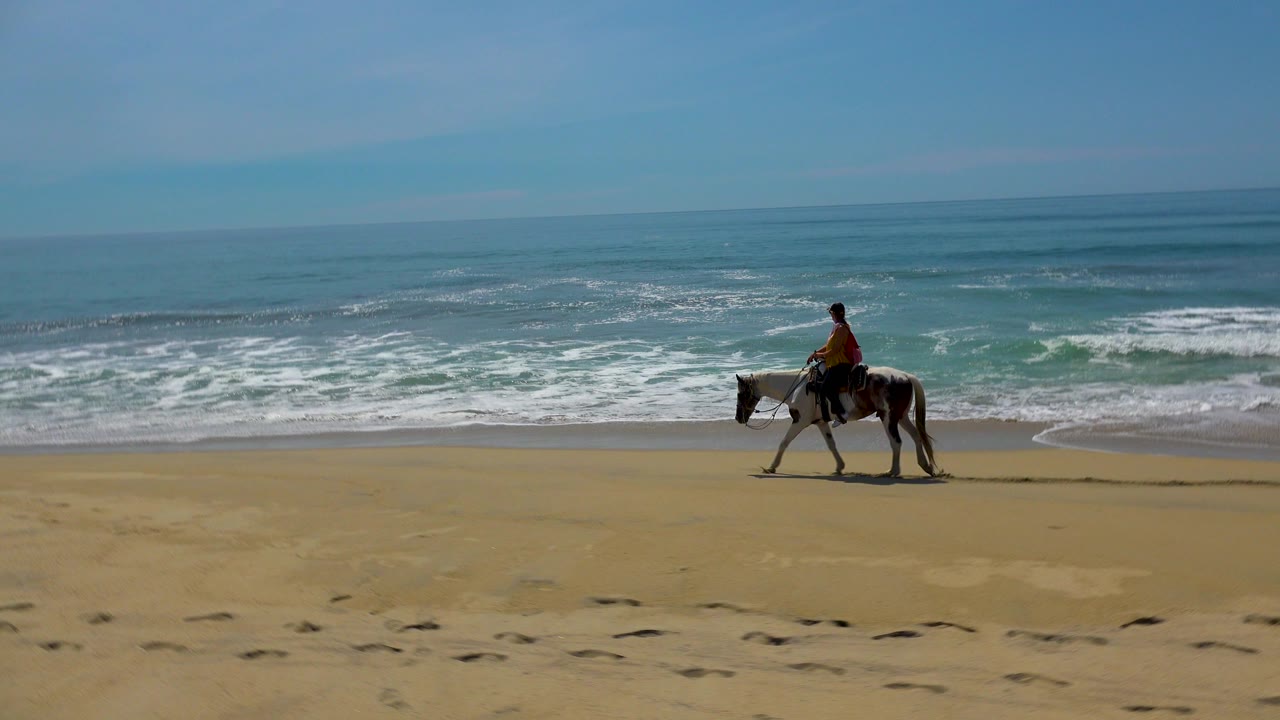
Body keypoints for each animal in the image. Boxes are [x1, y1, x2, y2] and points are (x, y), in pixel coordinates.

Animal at [735, 364, 941, 477]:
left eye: (740, 394)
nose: (738, 418)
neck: (797, 387)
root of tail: (906, 376)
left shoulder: (800, 421)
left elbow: (784, 442)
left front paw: (771, 467)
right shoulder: (820, 422)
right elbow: (831, 444)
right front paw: (839, 467)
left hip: (888, 417)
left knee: (896, 442)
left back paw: (893, 471)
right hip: (902, 416)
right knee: (916, 436)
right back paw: (926, 467)